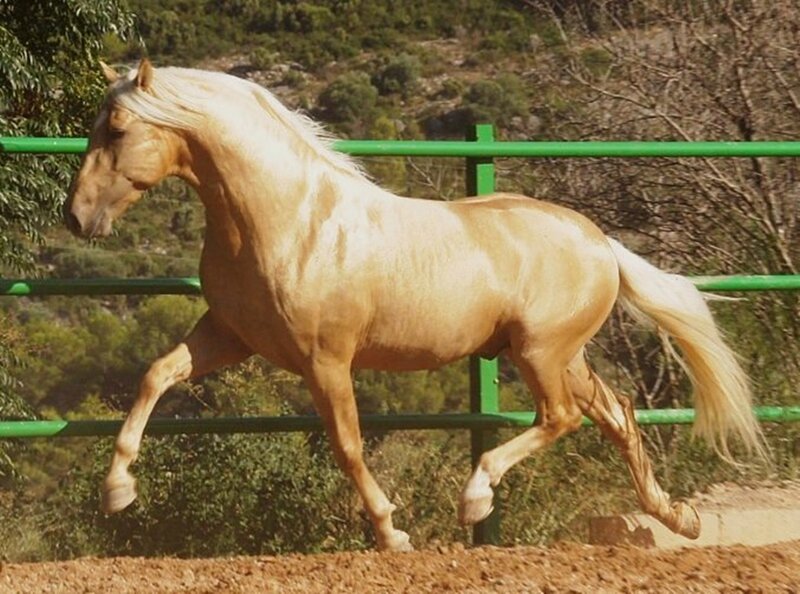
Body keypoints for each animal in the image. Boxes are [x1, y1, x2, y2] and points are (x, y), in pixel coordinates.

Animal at [64, 58, 766, 551]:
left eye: (117, 129)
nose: (76, 217)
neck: (288, 219)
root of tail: (601, 242)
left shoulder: (326, 360)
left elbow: (348, 445)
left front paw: (391, 532)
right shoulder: (229, 336)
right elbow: (156, 374)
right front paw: (117, 491)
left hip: (540, 353)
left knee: (563, 418)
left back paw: (477, 497)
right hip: (562, 356)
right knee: (616, 413)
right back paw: (679, 518)